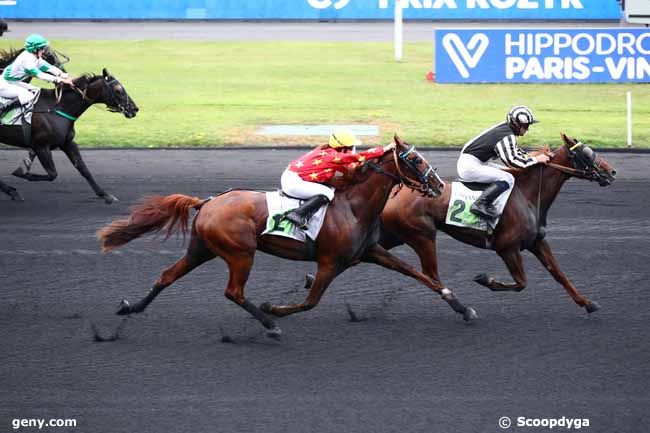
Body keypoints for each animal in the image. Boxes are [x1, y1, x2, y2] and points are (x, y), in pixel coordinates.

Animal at [0, 67, 138, 202]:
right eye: (118, 89)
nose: (134, 109)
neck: (57, 108)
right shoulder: (41, 146)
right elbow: (52, 174)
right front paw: (21, 171)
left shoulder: (67, 143)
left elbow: (83, 169)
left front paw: (105, 195)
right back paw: (12, 191)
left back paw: (11, 191)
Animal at [98, 135, 478, 338]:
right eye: (415, 160)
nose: (439, 185)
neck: (353, 205)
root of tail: (207, 202)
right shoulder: (329, 262)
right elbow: (311, 301)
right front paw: (274, 309)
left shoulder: (369, 252)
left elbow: (419, 274)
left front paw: (461, 306)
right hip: (240, 252)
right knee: (233, 292)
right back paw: (268, 323)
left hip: (202, 248)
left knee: (166, 276)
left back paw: (131, 307)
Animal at [378, 133, 616, 312]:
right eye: (587, 153)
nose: (612, 172)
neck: (526, 194)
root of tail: (394, 192)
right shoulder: (507, 248)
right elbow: (521, 283)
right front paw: (485, 279)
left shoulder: (536, 242)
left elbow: (558, 273)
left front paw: (587, 302)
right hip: (422, 236)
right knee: (429, 273)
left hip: (396, 235)